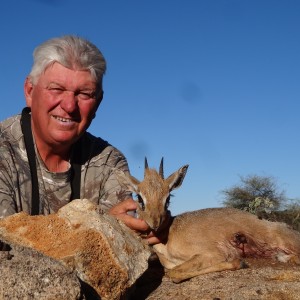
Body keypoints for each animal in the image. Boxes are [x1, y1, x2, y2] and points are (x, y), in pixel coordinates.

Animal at [116, 158, 300, 282]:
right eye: (140, 198)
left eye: (168, 198)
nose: (154, 223)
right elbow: (173, 272)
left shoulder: (211, 253)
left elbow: (173, 274)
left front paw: (239, 262)